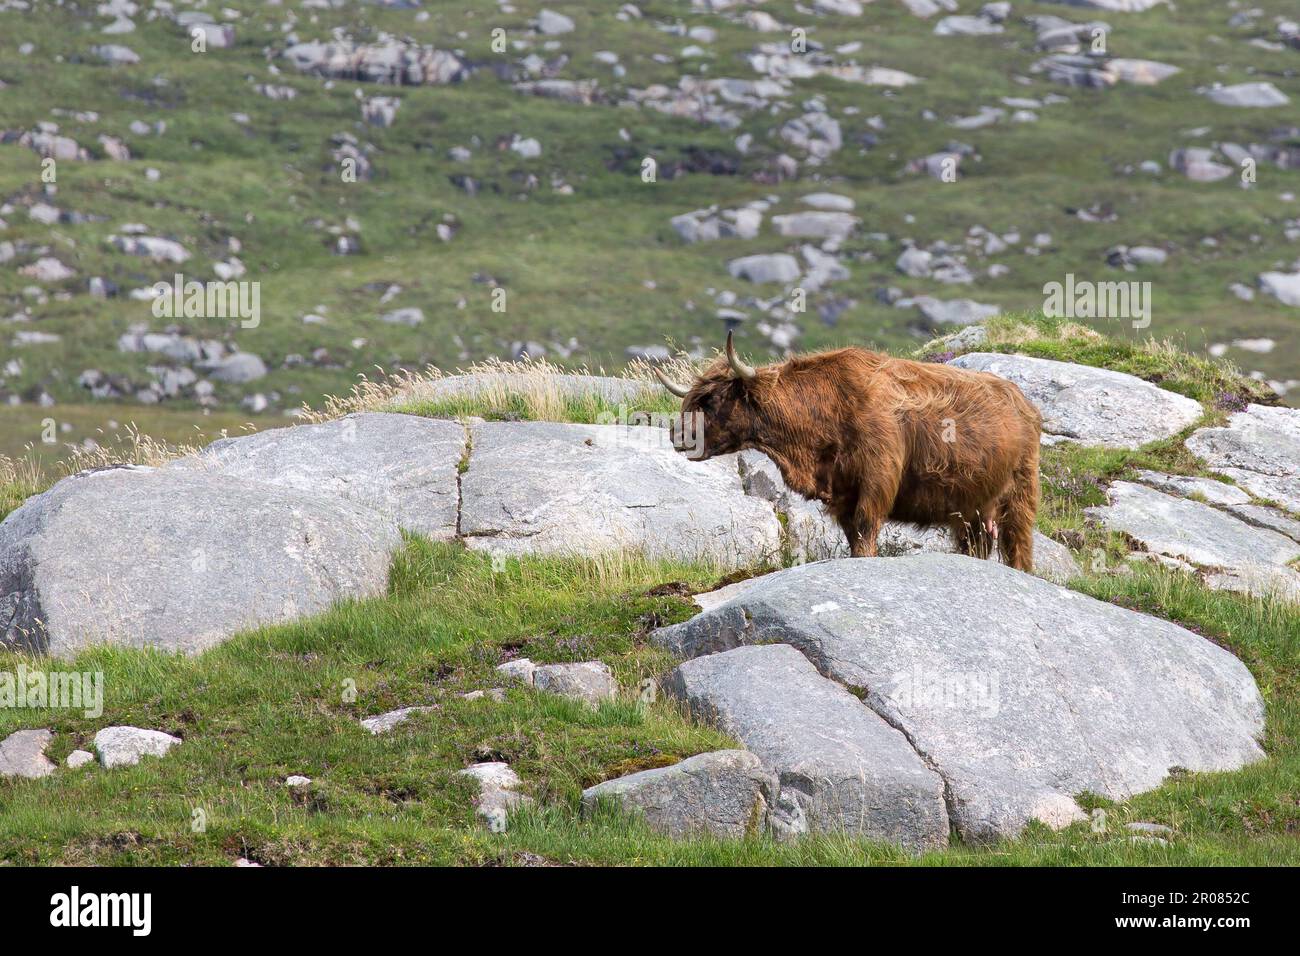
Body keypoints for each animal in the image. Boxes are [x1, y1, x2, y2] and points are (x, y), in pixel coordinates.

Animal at [655, 335, 1040, 567]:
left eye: (711, 400)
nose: (677, 434)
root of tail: (1023, 402)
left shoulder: (877, 480)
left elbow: (866, 530)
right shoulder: (842, 494)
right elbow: (853, 536)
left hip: (1020, 494)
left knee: (1019, 547)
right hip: (971, 509)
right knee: (977, 545)